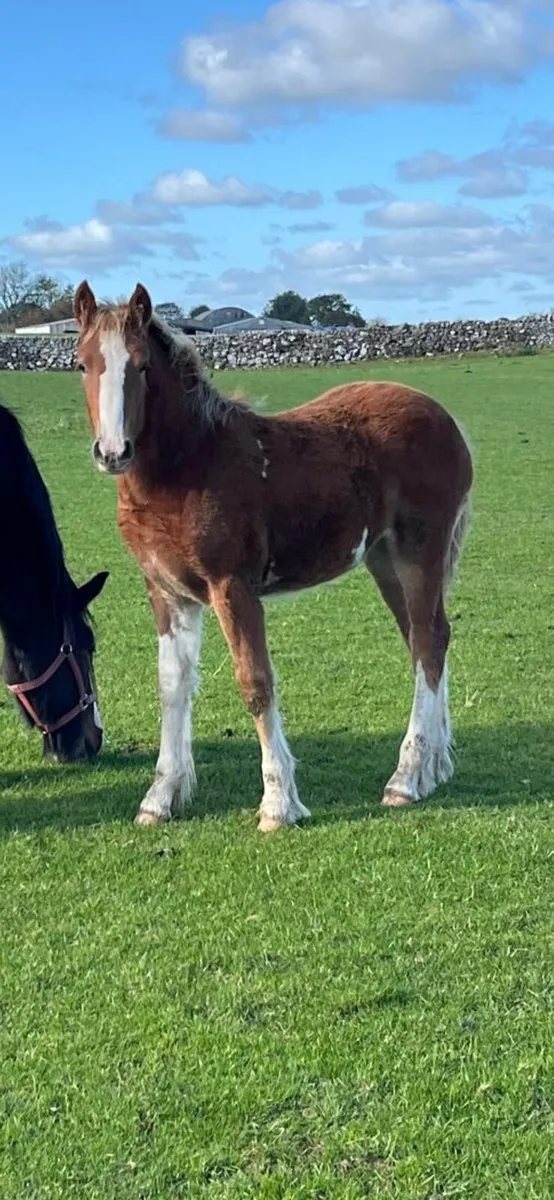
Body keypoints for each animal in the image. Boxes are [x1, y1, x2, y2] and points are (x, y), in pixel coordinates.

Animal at [74, 281, 473, 830]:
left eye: (142, 365)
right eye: (82, 363)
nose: (113, 453)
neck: (191, 466)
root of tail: (446, 418)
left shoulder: (232, 587)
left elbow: (255, 682)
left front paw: (278, 803)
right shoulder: (167, 593)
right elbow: (172, 686)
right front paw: (159, 798)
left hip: (419, 551)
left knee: (429, 641)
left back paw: (405, 779)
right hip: (385, 559)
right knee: (426, 636)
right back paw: (434, 767)